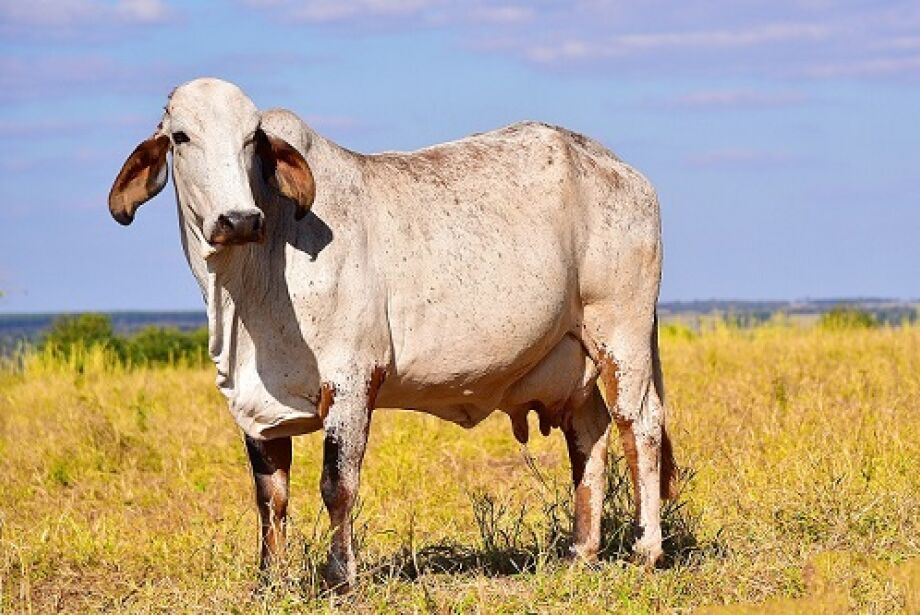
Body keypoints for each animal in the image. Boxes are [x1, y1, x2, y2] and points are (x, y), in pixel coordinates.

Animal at [108, 77, 677, 592]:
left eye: (252, 137)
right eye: (181, 137)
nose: (239, 219)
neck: (249, 286)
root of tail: (618, 167)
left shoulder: (351, 381)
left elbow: (337, 485)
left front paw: (340, 577)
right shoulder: (254, 408)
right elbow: (271, 497)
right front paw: (268, 581)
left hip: (620, 332)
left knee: (639, 424)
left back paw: (646, 551)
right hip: (574, 357)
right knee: (589, 435)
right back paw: (582, 552)